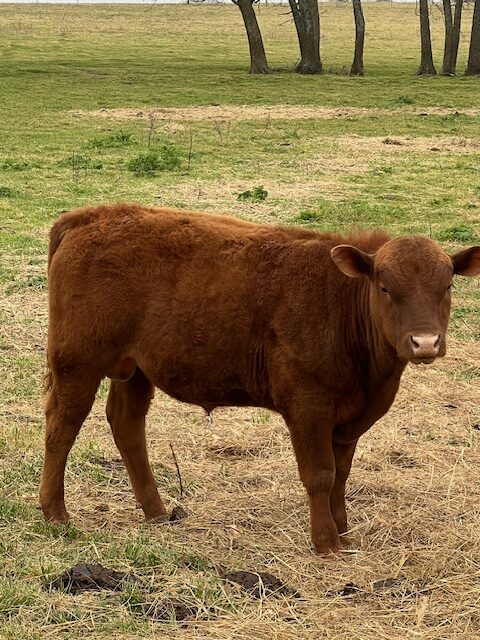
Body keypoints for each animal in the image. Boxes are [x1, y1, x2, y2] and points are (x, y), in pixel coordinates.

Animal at [40, 203, 480, 553]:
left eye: (447, 285)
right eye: (385, 287)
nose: (425, 342)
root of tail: (89, 216)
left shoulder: (349, 420)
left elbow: (341, 475)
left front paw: (343, 532)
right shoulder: (308, 409)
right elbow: (320, 475)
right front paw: (325, 543)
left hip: (134, 369)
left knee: (127, 426)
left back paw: (156, 511)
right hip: (76, 361)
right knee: (62, 426)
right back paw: (55, 511)